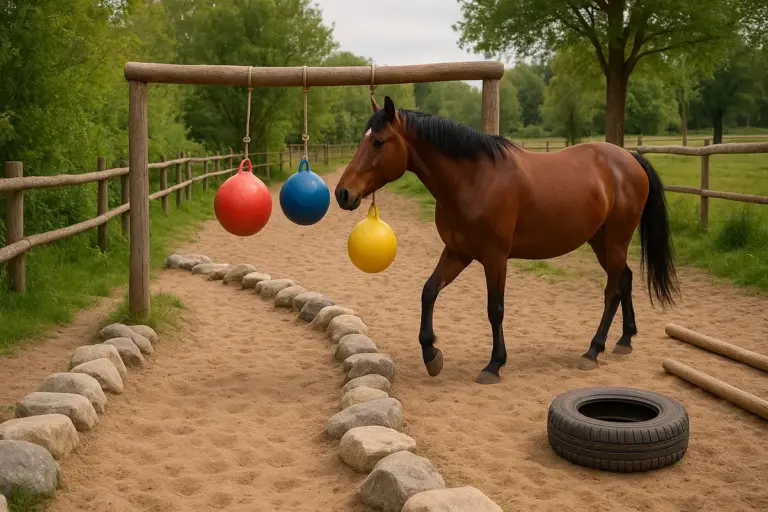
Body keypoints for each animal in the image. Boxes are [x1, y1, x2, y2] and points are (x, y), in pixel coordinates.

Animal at [334, 95, 680, 385]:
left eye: (378, 142)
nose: (342, 193)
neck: (473, 180)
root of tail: (630, 159)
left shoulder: (495, 258)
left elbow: (495, 309)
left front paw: (494, 364)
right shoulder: (457, 252)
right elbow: (429, 291)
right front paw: (431, 355)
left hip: (617, 238)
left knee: (612, 291)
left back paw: (593, 350)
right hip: (600, 240)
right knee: (625, 279)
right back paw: (624, 340)